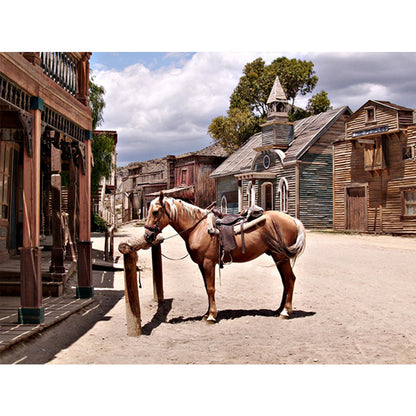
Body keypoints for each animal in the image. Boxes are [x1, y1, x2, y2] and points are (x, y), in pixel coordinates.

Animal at [144, 193, 306, 324]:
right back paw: (279, 310)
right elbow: (206, 287)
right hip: (278, 257)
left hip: (282, 257)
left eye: (155, 212)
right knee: (285, 281)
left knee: (290, 279)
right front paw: (206, 313)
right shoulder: (201, 264)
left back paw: (286, 312)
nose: (147, 235)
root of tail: (292, 220)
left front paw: (211, 316)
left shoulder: (208, 263)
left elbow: (210, 288)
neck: (197, 228)